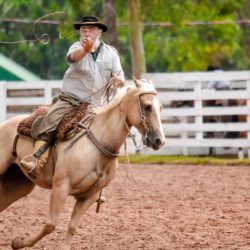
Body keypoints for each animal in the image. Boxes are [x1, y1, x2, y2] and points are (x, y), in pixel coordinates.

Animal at [0, 79, 164, 249]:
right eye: (147, 107)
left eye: (160, 107)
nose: (159, 140)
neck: (100, 142)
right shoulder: (61, 187)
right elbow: (50, 225)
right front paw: (18, 242)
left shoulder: (89, 196)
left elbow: (72, 226)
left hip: (18, 186)